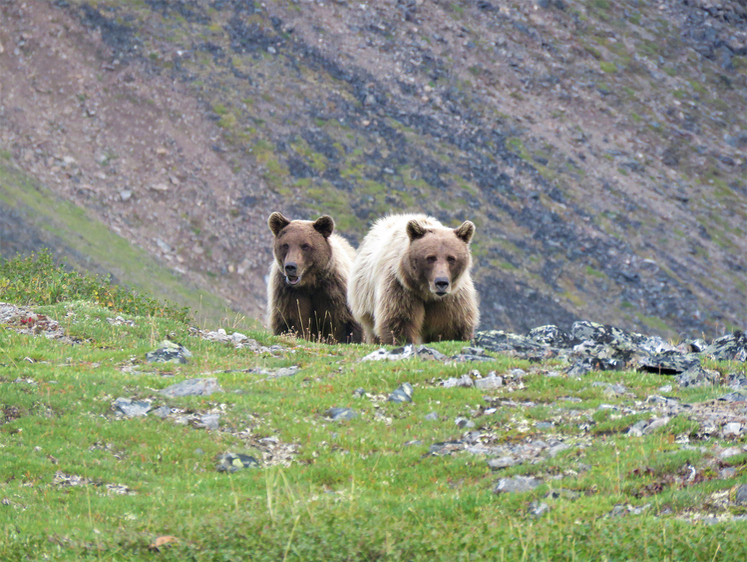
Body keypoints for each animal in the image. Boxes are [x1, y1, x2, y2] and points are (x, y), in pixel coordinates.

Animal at [268, 210, 364, 342]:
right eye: (285, 245)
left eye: (305, 245)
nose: (290, 267)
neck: (310, 283)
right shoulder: (289, 293)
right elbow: (291, 322)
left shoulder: (334, 292)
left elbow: (345, 324)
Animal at [350, 214, 480, 344]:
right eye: (430, 258)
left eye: (451, 258)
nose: (441, 282)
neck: (427, 293)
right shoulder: (401, 287)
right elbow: (400, 320)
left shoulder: (452, 298)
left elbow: (452, 325)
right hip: (365, 299)